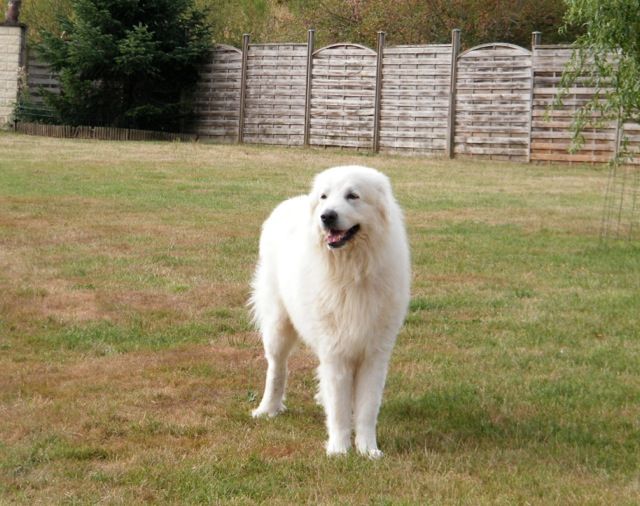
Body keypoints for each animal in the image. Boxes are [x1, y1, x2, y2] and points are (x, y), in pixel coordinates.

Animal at [250, 166, 410, 458]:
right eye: (324, 197)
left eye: (353, 196)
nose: (327, 216)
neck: (352, 271)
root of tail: (290, 202)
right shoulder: (336, 351)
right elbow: (338, 410)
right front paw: (339, 450)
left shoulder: (374, 354)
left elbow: (367, 410)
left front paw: (368, 450)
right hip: (278, 326)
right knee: (276, 368)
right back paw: (267, 409)